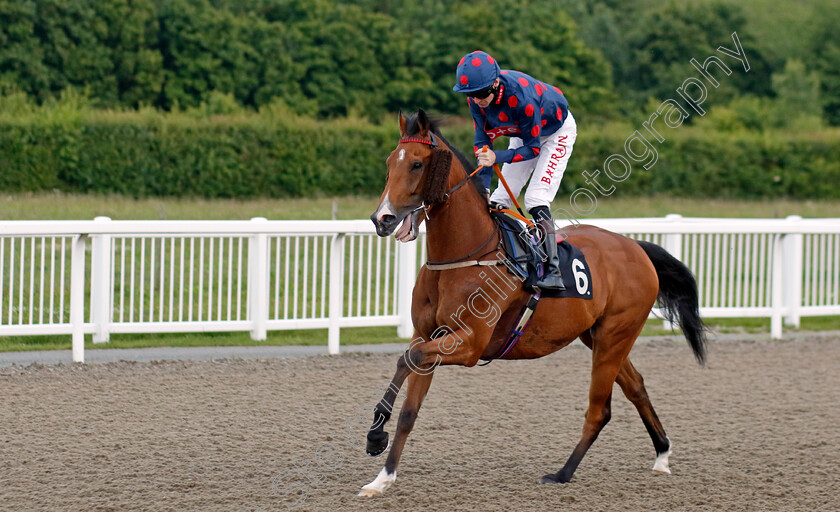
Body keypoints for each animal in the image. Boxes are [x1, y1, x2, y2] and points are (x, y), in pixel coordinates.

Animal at [360, 110, 708, 498]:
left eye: (417, 164)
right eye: (390, 162)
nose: (382, 219)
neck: (464, 255)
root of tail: (636, 247)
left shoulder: (469, 344)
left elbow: (411, 358)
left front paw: (377, 438)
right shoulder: (428, 334)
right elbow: (409, 400)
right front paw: (381, 470)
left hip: (615, 335)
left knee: (599, 410)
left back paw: (563, 473)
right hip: (599, 336)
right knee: (635, 386)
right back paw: (662, 454)